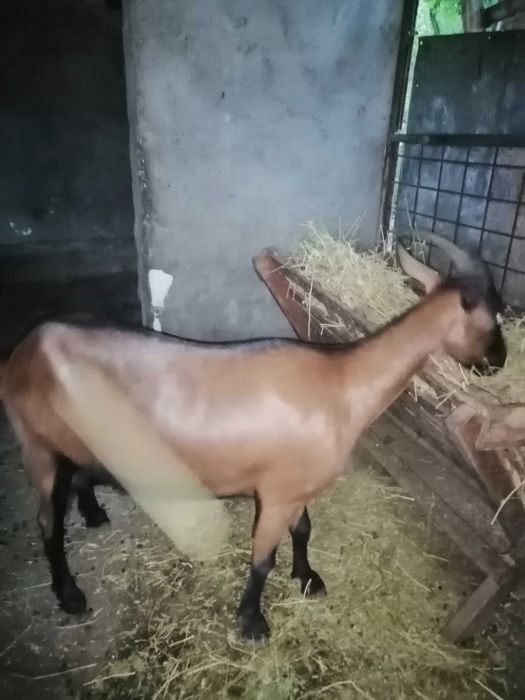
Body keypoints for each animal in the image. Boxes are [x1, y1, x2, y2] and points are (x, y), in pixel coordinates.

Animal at [0, 233, 506, 640]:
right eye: (496, 314)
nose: (499, 362)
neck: (342, 385)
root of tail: (22, 353)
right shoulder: (277, 494)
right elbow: (262, 560)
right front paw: (252, 623)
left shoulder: (294, 487)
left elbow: (303, 530)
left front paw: (308, 579)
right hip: (38, 447)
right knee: (48, 522)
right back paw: (70, 594)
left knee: (79, 477)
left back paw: (93, 513)